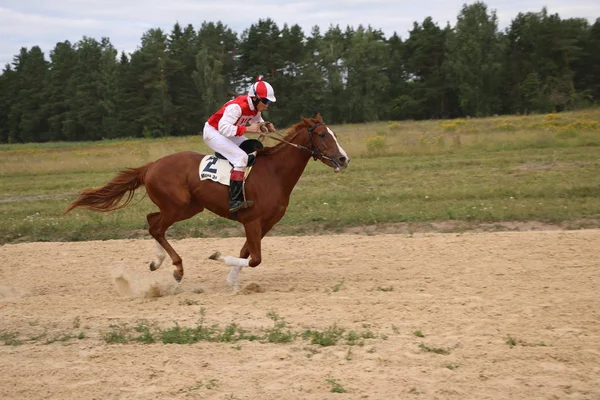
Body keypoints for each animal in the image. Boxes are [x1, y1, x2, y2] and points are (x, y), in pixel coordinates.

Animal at [63, 114, 350, 290]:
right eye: (323, 135)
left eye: (333, 134)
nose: (343, 159)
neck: (275, 173)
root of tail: (151, 166)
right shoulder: (252, 220)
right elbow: (254, 258)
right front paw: (218, 257)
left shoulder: (264, 224)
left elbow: (246, 253)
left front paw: (232, 280)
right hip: (178, 206)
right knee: (156, 227)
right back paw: (177, 267)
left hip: (189, 206)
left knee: (152, 221)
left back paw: (158, 262)